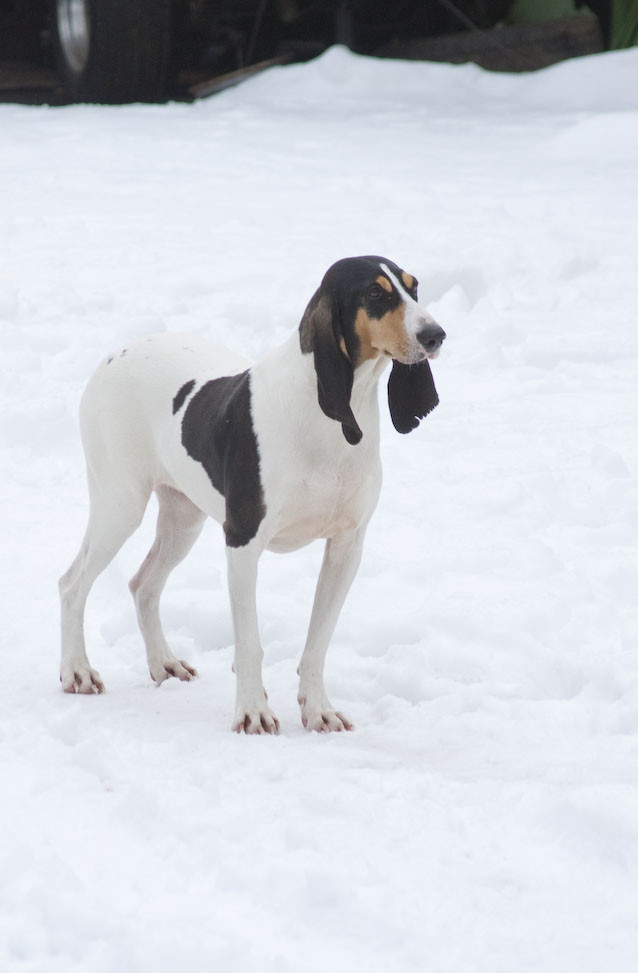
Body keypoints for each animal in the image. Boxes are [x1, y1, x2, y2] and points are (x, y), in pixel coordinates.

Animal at [59, 256, 445, 733]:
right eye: (375, 293)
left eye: (414, 287)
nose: (435, 335)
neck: (329, 418)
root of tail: (113, 355)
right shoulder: (243, 543)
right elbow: (249, 644)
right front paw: (252, 711)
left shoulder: (346, 548)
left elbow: (318, 643)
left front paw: (318, 709)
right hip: (120, 506)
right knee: (72, 584)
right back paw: (76, 671)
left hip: (183, 520)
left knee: (142, 584)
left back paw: (164, 663)